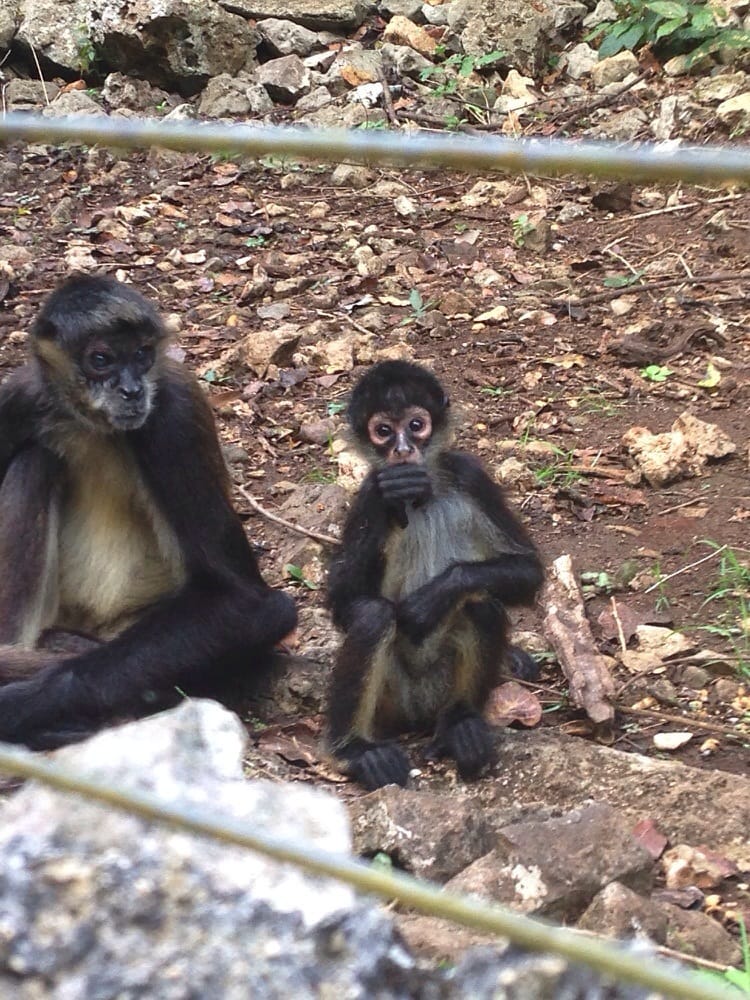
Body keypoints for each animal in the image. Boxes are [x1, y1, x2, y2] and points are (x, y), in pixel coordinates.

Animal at [0, 272, 297, 749]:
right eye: (101, 359)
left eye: (141, 355)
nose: (132, 389)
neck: (93, 426)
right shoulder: (21, 396)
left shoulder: (172, 418)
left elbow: (249, 602)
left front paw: (26, 702)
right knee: (36, 459)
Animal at [326, 361, 543, 791]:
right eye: (383, 431)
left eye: (416, 425)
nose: (402, 450)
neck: (421, 495)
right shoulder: (365, 495)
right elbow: (342, 602)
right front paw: (391, 497)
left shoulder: (469, 474)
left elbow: (530, 572)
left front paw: (435, 596)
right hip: (391, 698)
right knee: (373, 616)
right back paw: (359, 751)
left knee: (481, 604)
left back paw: (460, 725)